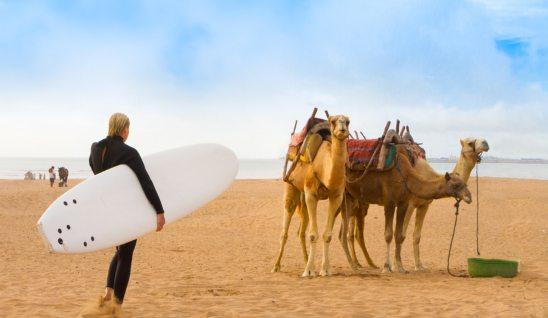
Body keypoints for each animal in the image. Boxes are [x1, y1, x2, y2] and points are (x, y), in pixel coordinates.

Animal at [272, 115, 354, 278]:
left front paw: (325, 270)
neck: (324, 169)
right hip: (291, 186)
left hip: (303, 198)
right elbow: (313, 234)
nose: (342, 129)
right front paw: (309, 271)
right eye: (333, 121)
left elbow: (327, 235)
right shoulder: (311, 194)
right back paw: (276, 266)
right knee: (285, 228)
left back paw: (306, 261)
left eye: (348, 121)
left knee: (301, 231)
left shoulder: (336, 197)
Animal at [346, 138, 488, 272]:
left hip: (356, 202)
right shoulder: (398, 203)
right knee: (355, 233)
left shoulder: (419, 205)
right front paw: (390, 266)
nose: (469, 197)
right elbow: (394, 235)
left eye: (465, 184)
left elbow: (412, 236)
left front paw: (415, 266)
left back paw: (360, 263)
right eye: (470, 142)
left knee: (352, 233)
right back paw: (359, 264)